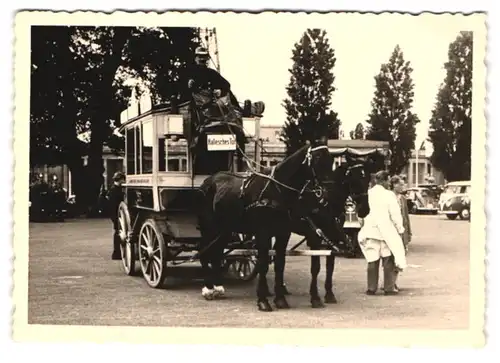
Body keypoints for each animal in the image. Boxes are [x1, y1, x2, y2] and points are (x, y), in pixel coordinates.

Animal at [197, 141, 334, 312]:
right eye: (317, 159)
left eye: (332, 160)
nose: (327, 194)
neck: (277, 190)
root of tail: (209, 180)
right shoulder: (263, 233)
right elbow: (262, 264)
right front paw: (263, 300)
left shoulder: (283, 233)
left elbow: (280, 264)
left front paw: (280, 299)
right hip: (209, 227)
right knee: (204, 250)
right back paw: (208, 288)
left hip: (224, 230)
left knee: (216, 252)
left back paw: (217, 286)